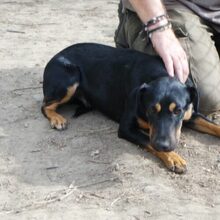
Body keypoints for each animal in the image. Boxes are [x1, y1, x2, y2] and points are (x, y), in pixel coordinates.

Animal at [41, 43, 220, 174]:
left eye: (178, 111)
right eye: (151, 110)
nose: (163, 145)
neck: (159, 75)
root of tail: (54, 56)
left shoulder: (192, 114)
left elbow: (214, 126)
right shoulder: (126, 128)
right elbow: (147, 140)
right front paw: (173, 158)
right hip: (70, 77)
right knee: (44, 105)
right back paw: (57, 119)